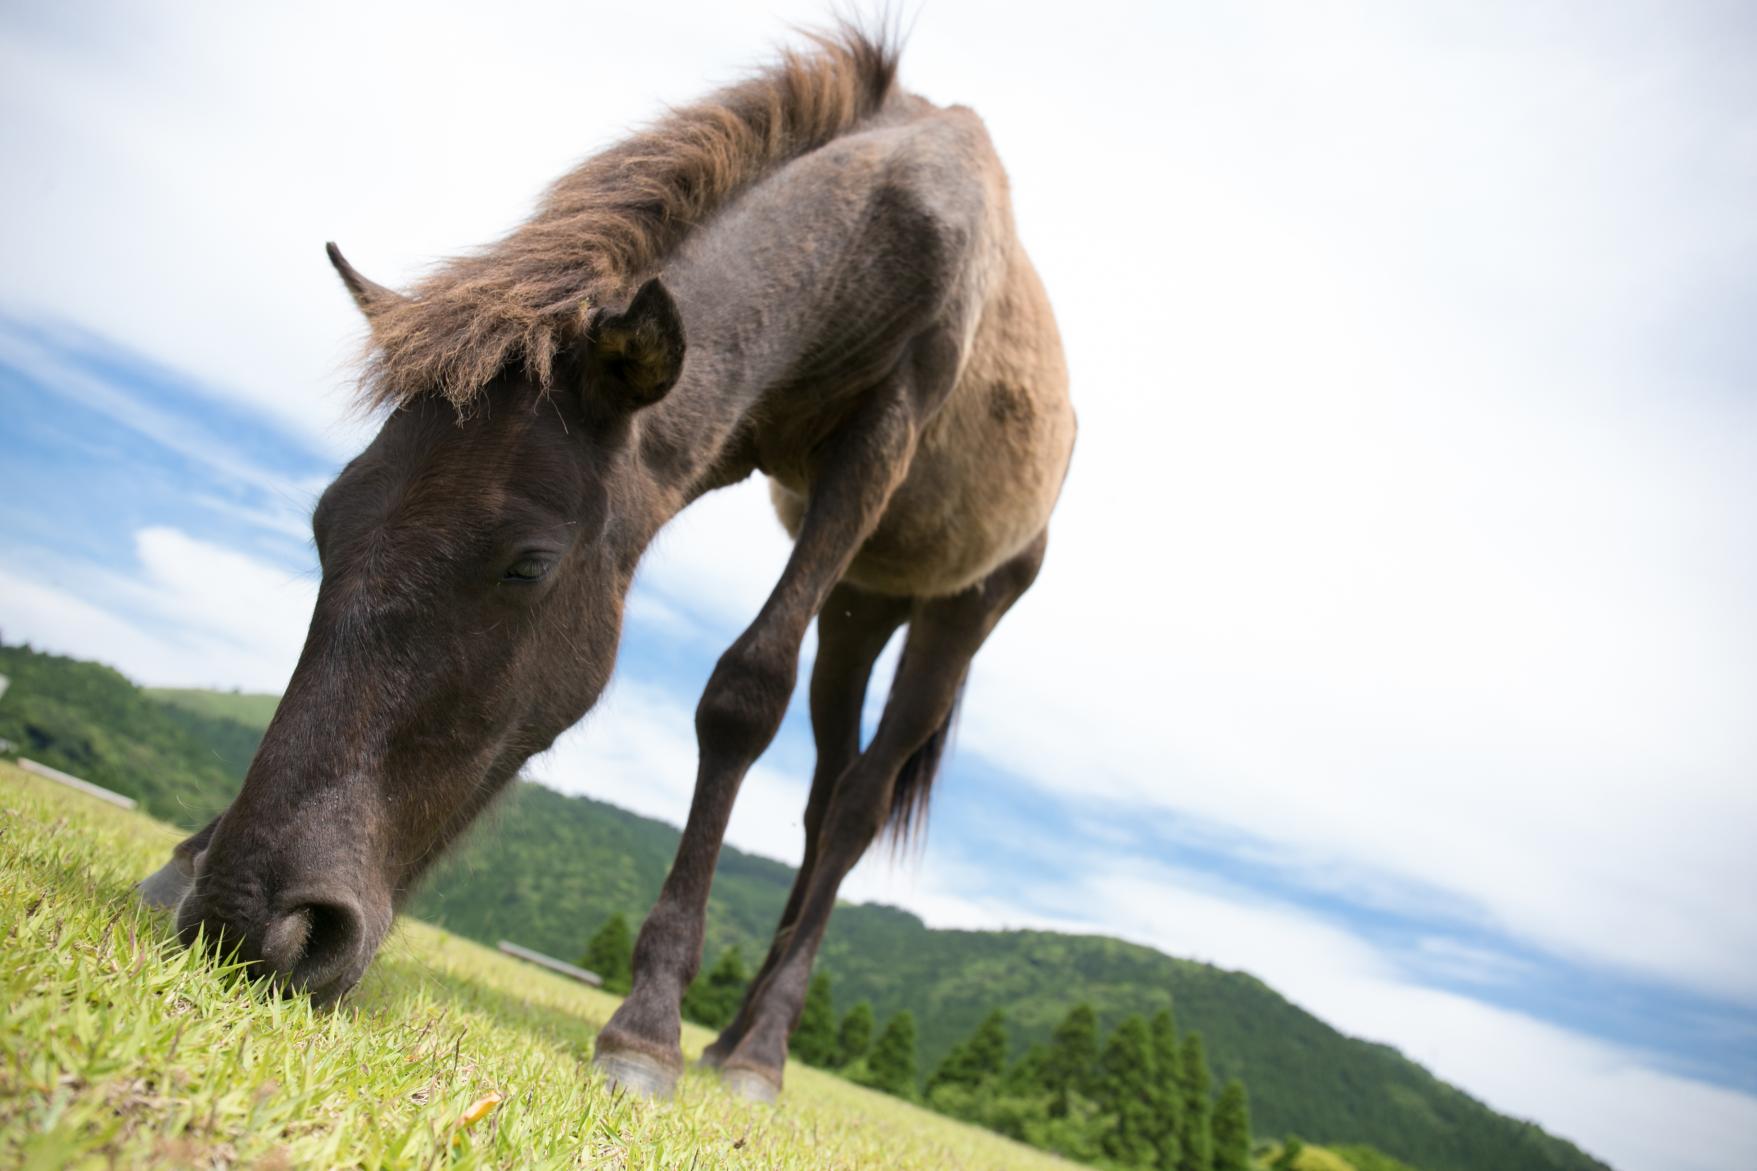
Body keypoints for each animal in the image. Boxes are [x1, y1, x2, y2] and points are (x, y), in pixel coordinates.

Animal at [137, 31, 1068, 1097]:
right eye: (328, 525)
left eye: (527, 565)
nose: (256, 918)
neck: (881, 210)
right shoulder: (695, 442)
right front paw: (189, 854)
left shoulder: (878, 439)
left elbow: (742, 695)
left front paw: (647, 1023)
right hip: (862, 608)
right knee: (825, 791)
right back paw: (736, 1033)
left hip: (961, 610)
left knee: (858, 805)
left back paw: (758, 1047)